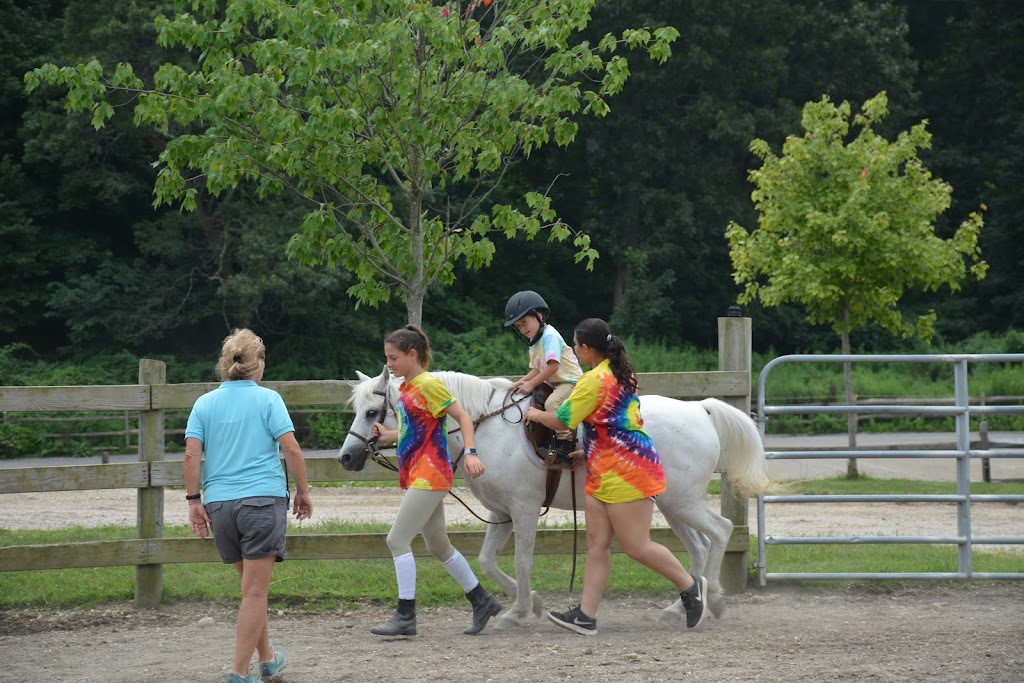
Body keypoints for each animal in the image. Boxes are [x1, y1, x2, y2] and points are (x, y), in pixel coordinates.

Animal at [339, 368, 770, 630]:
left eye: (374, 411)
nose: (346, 457)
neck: (482, 426)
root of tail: (700, 408)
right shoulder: (502, 513)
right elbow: (487, 561)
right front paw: (531, 603)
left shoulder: (525, 509)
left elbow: (522, 560)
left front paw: (518, 612)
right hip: (671, 504)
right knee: (698, 547)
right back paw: (682, 606)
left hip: (682, 501)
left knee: (722, 530)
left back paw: (714, 599)